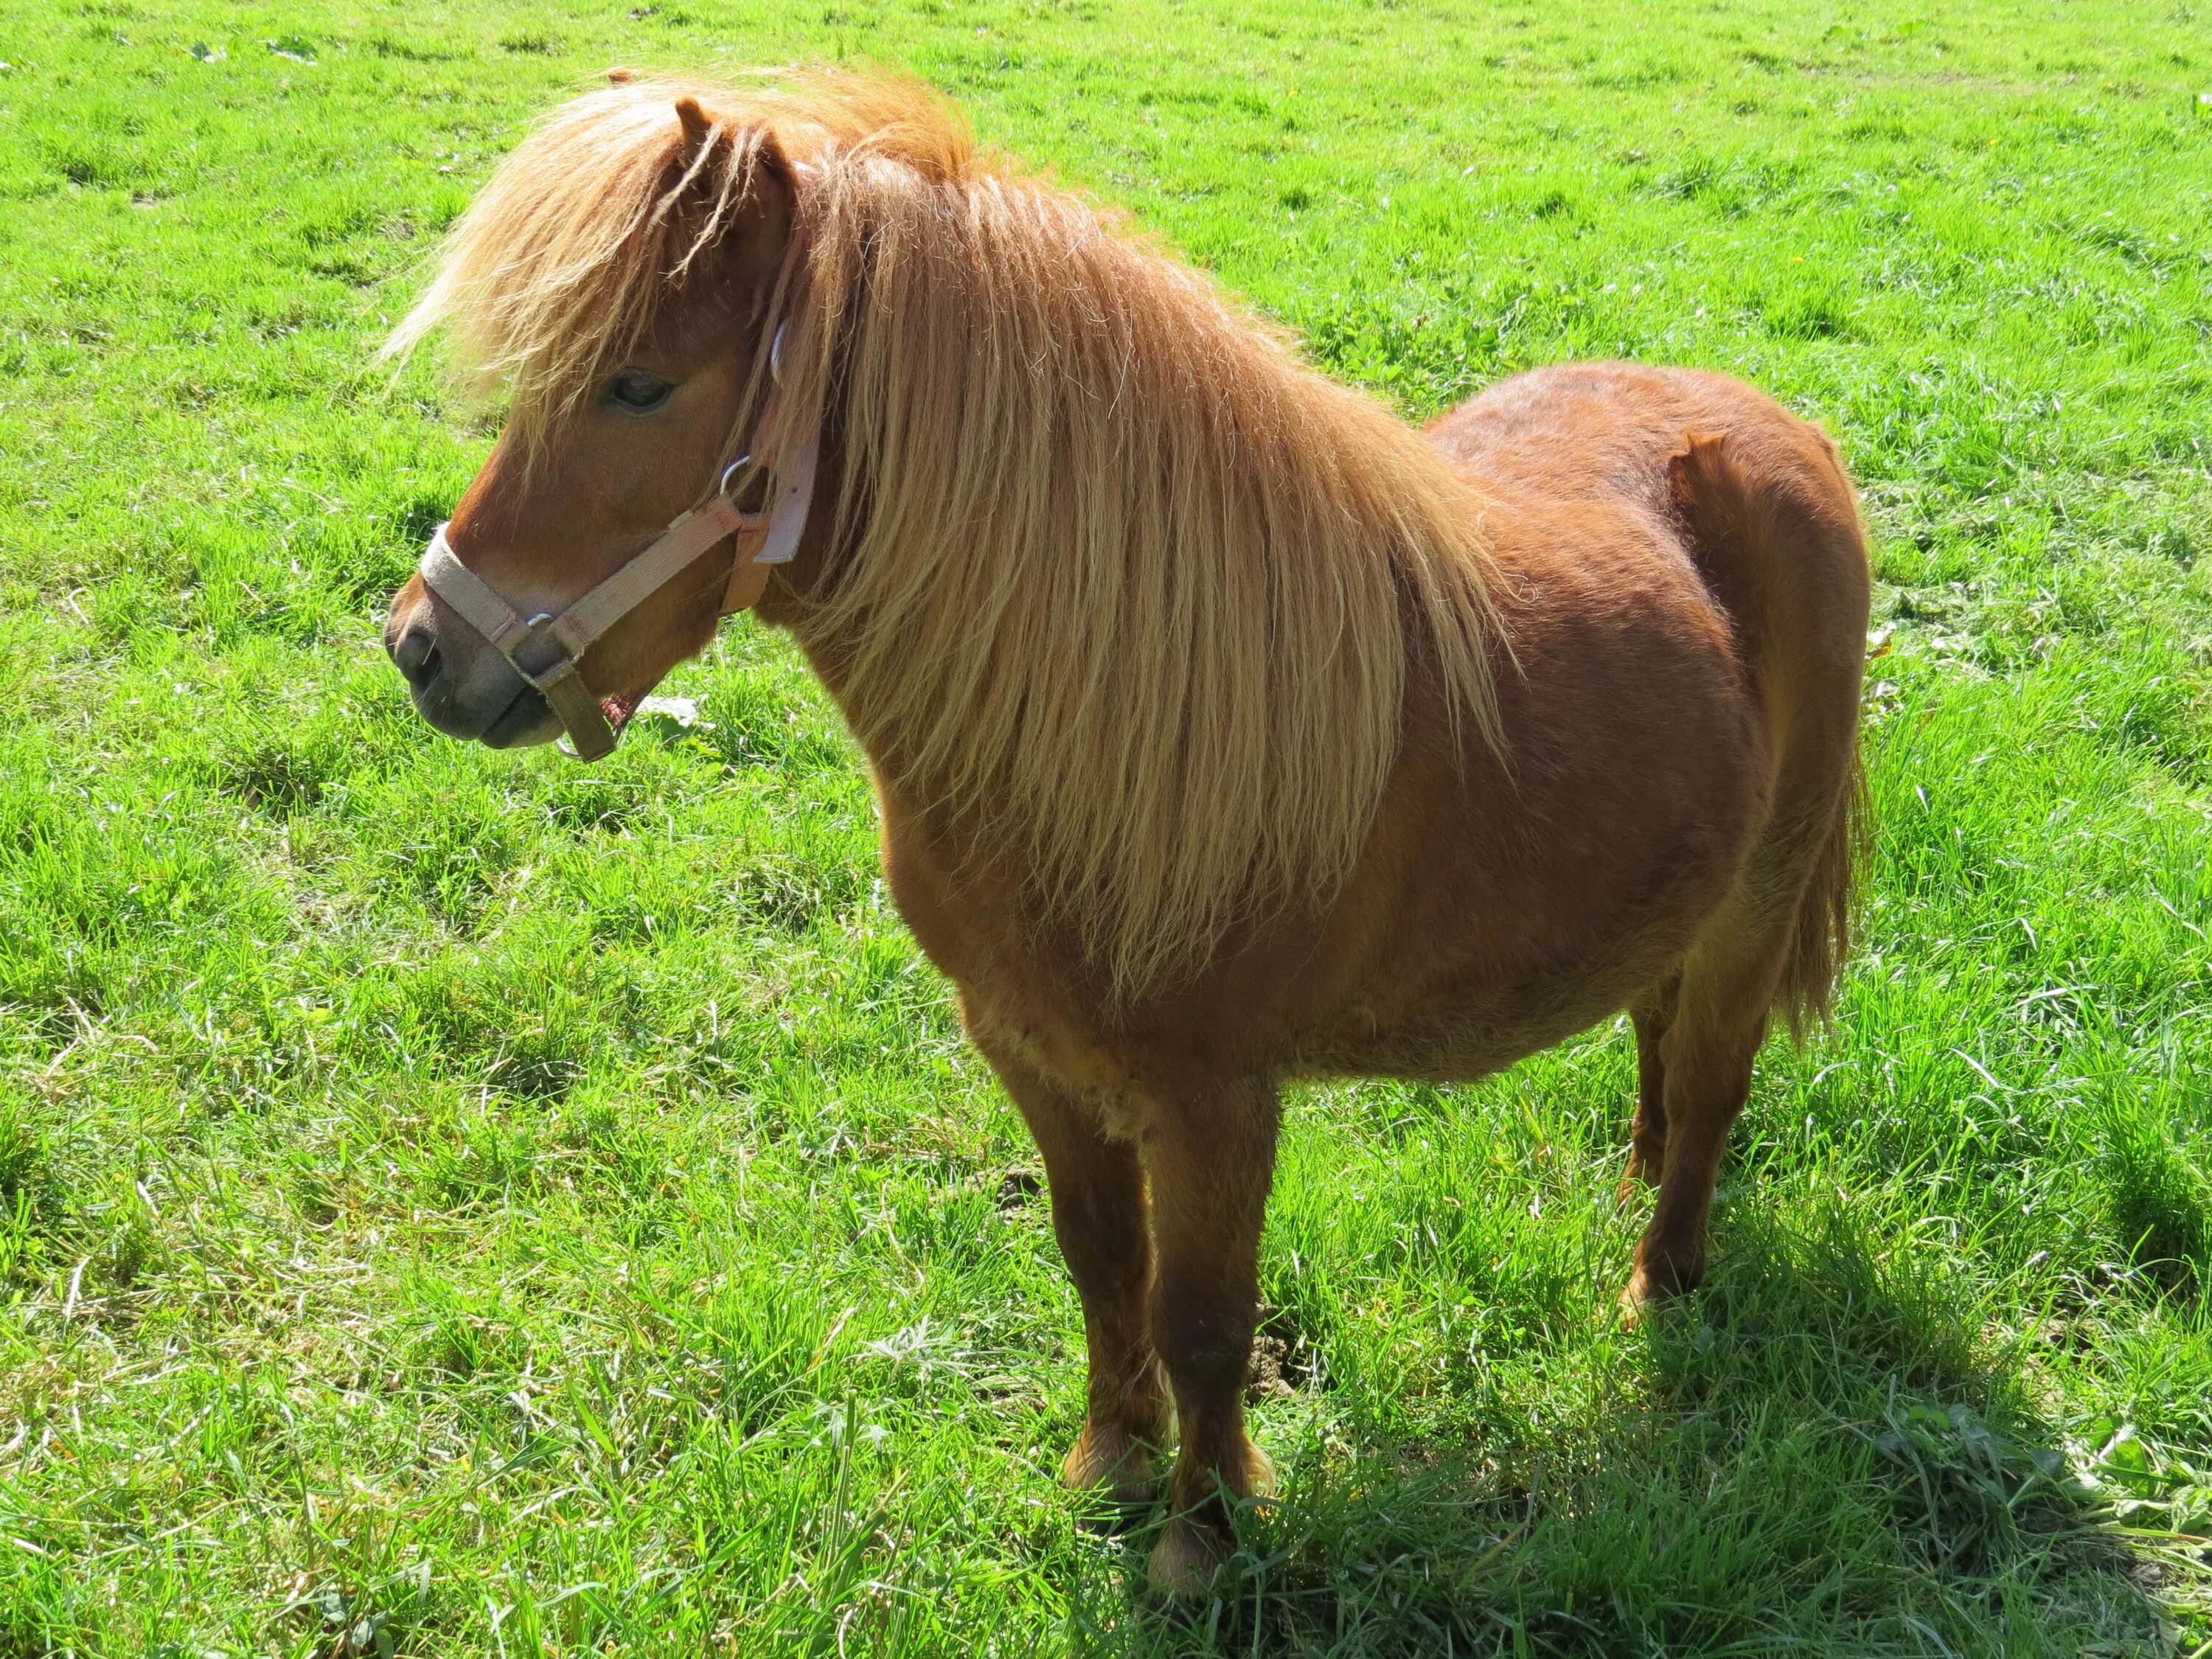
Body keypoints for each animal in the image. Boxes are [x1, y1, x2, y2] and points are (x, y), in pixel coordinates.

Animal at [380, 71, 1867, 1601]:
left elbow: (1204, 1314)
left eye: (640, 385)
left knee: (1713, 1082)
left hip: (1760, 896)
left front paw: (1200, 1539)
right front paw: (1108, 1462)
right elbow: (1101, 1262)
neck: (1114, 710)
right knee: (1655, 1028)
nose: (425, 650)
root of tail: (1772, 426)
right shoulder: (1025, 1047)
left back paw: (1659, 1282)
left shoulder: (1218, 1098)